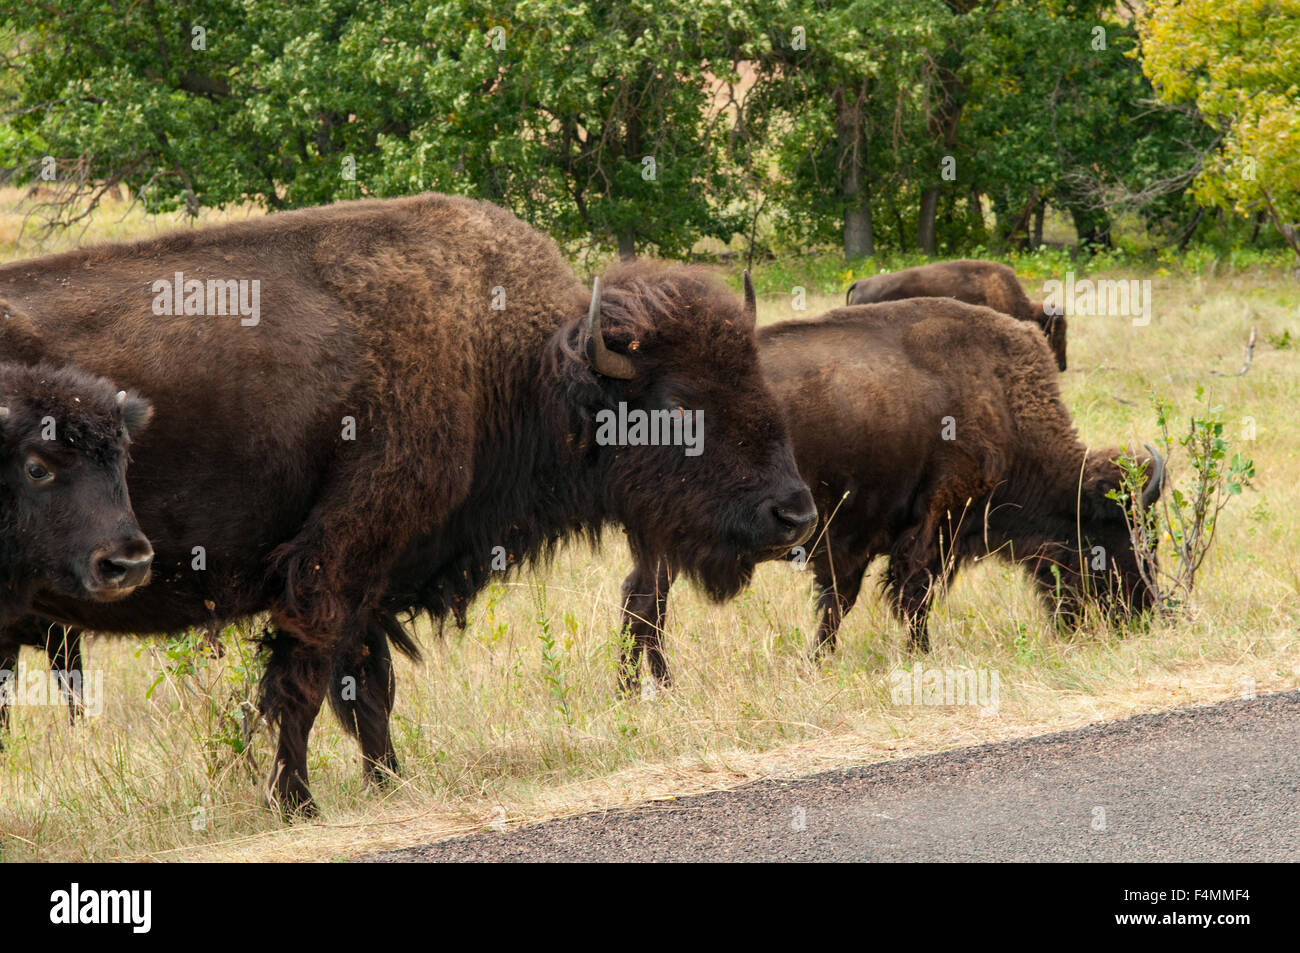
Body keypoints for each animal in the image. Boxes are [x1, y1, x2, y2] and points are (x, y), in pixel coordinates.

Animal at [0, 191, 811, 811]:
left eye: (755, 373)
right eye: (677, 403)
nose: (794, 514)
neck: (517, 367)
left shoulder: (375, 579)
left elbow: (367, 691)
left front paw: (387, 784)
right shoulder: (334, 564)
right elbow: (303, 686)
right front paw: (295, 804)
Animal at [621, 297, 1170, 686]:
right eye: (1120, 533)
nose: (1146, 610)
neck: (997, 396)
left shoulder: (858, 539)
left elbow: (841, 602)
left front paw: (819, 662)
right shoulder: (933, 522)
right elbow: (910, 596)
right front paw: (919, 655)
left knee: (641, 601)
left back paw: (641, 689)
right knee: (647, 605)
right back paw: (656, 689)